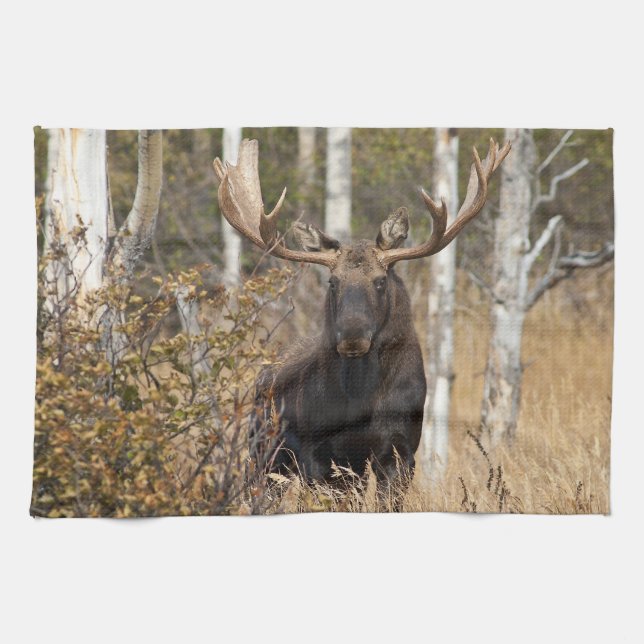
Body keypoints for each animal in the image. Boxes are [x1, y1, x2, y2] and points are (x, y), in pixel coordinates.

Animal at [213, 137, 510, 507]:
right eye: (332, 281)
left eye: (380, 281)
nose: (353, 336)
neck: (363, 402)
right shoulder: (326, 459)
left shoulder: (401, 452)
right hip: (263, 452)